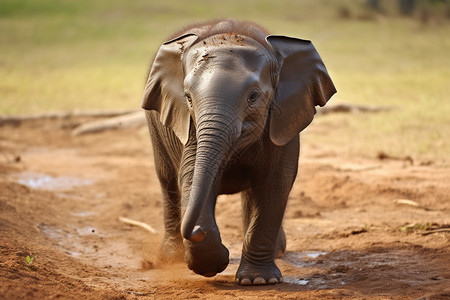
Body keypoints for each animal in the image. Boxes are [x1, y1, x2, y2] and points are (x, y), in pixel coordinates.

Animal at [142, 19, 336, 286]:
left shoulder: (283, 121)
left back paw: (277, 252)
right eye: (188, 97)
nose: (197, 232)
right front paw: (211, 262)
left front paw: (258, 281)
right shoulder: (189, 125)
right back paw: (171, 258)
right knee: (168, 179)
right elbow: (190, 177)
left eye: (253, 96)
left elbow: (276, 183)